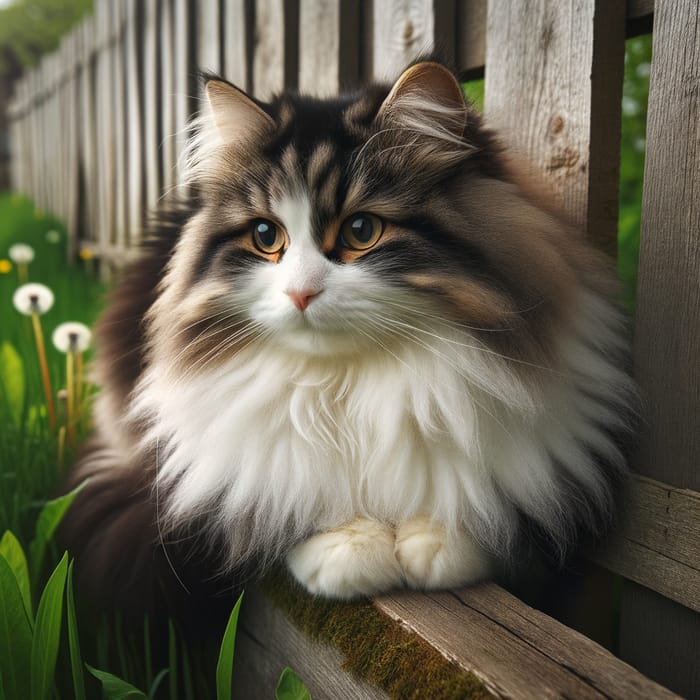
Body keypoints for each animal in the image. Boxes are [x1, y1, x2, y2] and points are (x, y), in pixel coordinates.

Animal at [63, 61, 636, 612]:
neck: (350, 386)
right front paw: (349, 546)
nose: (300, 293)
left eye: (362, 231)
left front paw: (440, 540)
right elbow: (290, 490)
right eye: (266, 236)